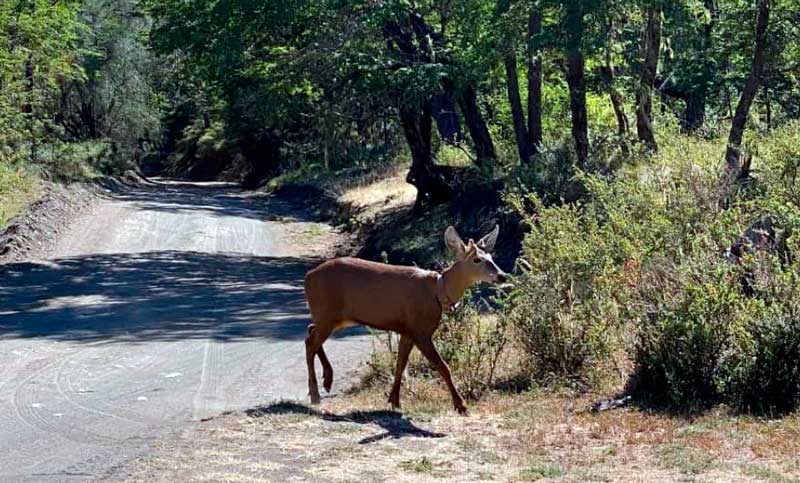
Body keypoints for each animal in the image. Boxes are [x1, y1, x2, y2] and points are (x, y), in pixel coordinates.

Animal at [302, 225, 506, 414]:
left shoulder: (407, 330)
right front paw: (461, 405)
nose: (502, 276)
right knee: (310, 341)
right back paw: (315, 395)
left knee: (310, 330)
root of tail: (308, 277)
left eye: (492, 257)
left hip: (337, 317)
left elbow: (400, 364)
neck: (438, 291)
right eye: (477, 259)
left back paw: (327, 380)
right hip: (327, 311)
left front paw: (394, 400)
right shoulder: (420, 330)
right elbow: (443, 366)